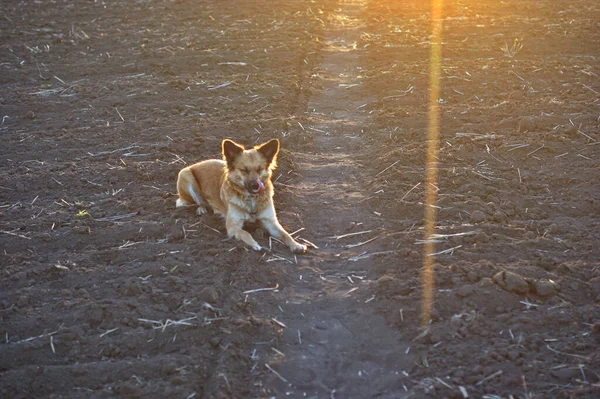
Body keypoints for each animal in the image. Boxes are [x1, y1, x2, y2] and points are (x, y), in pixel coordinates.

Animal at [173, 139, 304, 255]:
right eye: (244, 170)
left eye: (260, 169)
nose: (256, 185)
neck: (251, 200)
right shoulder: (233, 227)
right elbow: (246, 233)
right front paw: (255, 244)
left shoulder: (271, 222)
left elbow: (285, 234)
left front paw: (296, 245)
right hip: (186, 176)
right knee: (190, 202)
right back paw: (201, 209)